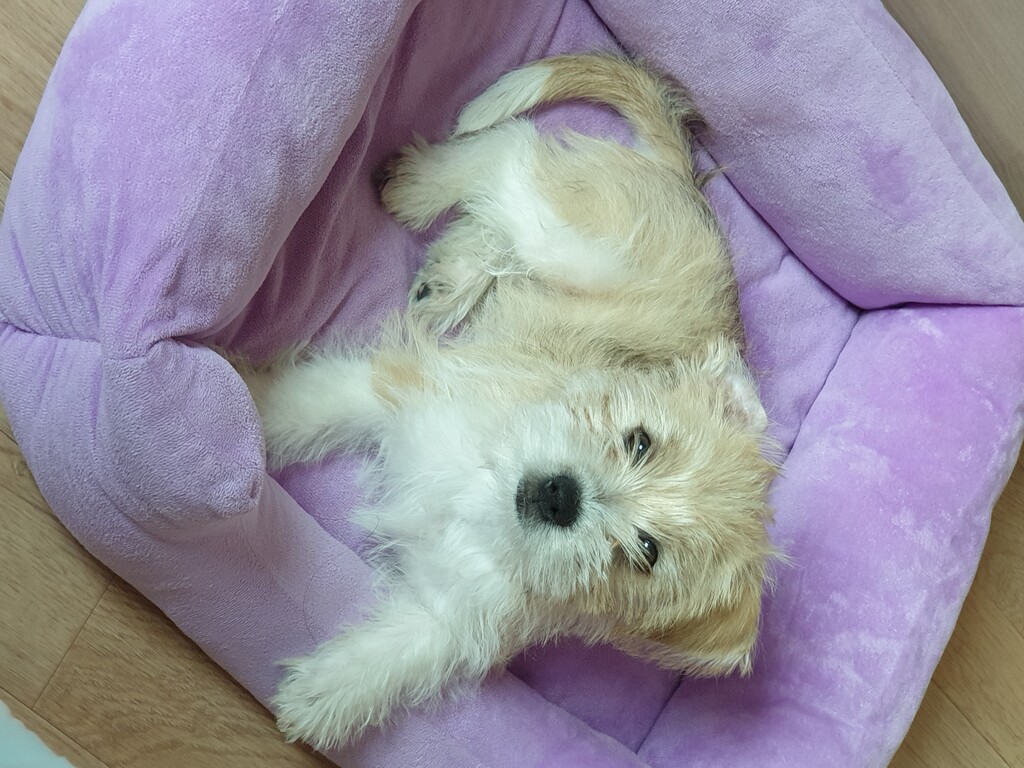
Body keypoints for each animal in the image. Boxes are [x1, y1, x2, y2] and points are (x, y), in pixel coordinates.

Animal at [240, 53, 777, 750]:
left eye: (646, 554)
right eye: (640, 441)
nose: (560, 496)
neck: (484, 486)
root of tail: (684, 182)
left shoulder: (452, 613)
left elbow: (399, 655)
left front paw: (321, 699)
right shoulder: (394, 390)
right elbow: (301, 405)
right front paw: (238, 408)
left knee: (502, 214)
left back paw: (448, 274)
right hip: (576, 246)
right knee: (511, 155)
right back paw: (421, 188)